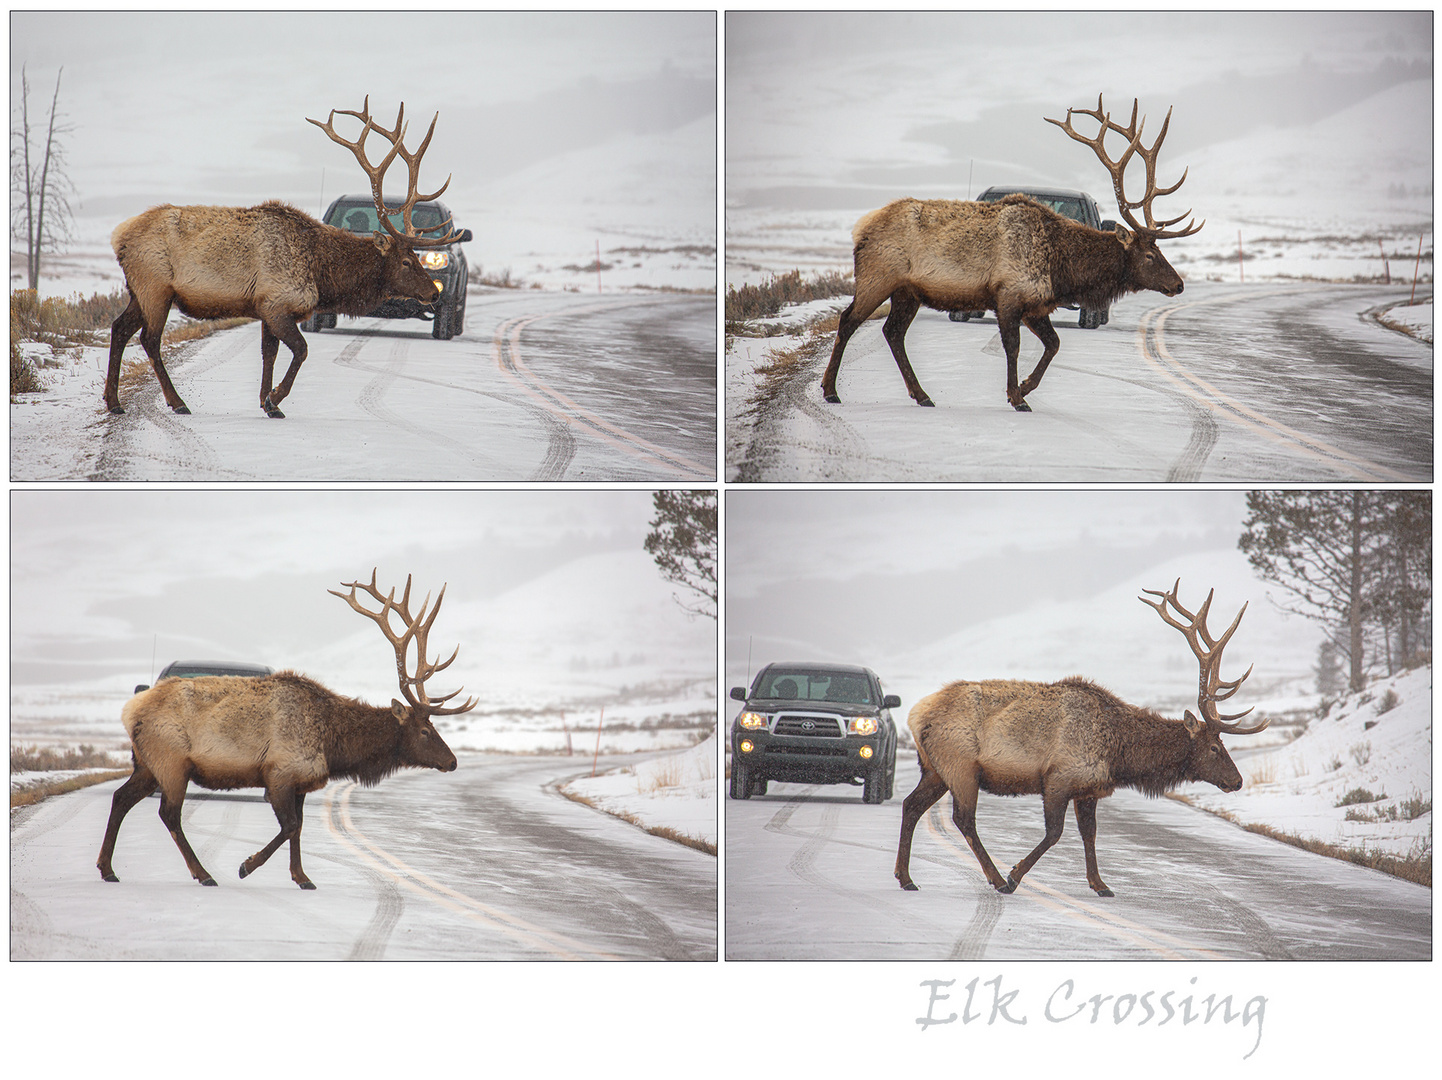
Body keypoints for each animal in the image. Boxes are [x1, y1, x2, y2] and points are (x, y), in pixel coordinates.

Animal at [97, 568, 478, 888]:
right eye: (425, 731)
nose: (452, 761)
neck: (334, 747)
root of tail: (131, 710)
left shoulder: (301, 783)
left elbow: (299, 828)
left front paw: (302, 877)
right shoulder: (279, 772)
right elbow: (290, 826)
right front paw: (247, 865)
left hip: (148, 764)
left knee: (121, 798)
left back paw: (108, 868)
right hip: (172, 761)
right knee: (169, 814)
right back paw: (203, 873)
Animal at [107, 98, 467, 418]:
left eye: (418, 258)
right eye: (406, 261)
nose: (433, 293)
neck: (323, 275)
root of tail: (118, 237)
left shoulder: (266, 306)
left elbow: (269, 354)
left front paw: (267, 402)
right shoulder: (277, 302)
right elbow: (301, 350)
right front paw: (275, 398)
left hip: (138, 290)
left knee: (119, 328)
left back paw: (114, 402)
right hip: (155, 286)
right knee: (149, 339)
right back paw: (177, 401)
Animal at [824, 94, 1205, 409]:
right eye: (1150, 255)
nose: (1178, 284)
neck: (1062, 268)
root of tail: (861, 228)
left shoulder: (1036, 304)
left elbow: (1054, 344)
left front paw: (1024, 387)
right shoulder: (1008, 295)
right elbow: (1014, 347)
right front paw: (1016, 396)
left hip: (908, 291)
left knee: (893, 332)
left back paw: (922, 395)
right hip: (877, 277)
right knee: (848, 320)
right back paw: (831, 391)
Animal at [888, 576, 1263, 899]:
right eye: (1214, 747)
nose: (1238, 780)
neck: (1120, 755)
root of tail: (916, 715)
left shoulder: (1089, 789)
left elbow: (1090, 834)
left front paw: (1100, 884)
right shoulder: (1058, 778)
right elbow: (1055, 833)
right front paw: (1015, 875)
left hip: (935, 769)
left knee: (911, 805)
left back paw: (906, 877)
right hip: (961, 766)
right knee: (963, 819)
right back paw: (995, 878)